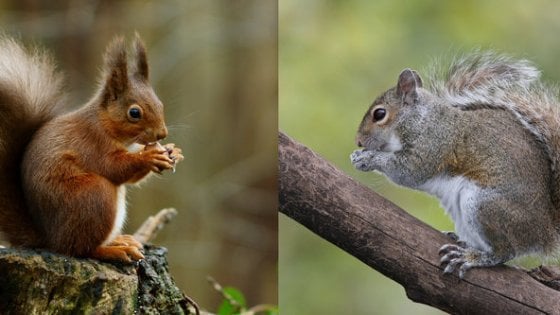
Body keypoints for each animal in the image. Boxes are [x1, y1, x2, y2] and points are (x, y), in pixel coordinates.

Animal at [0, 34, 183, 262]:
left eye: (160, 104)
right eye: (134, 113)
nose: (162, 134)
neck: (105, 124)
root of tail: (50, 239)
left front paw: (173, 151)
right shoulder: (92, 143)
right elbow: (113, 167)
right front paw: (148, 156)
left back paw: (119, 240)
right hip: (94, 195)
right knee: (80, 249)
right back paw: (114, 250)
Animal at [350, 51, 560, 278]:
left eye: (379, 114)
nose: (359, 142)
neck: (420, 119)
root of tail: (546, 233)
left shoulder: (433, 144)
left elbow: (409, 171)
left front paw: (368, 159)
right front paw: (359, 155)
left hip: (484, 206)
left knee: (505, 252)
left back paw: (472, 257)